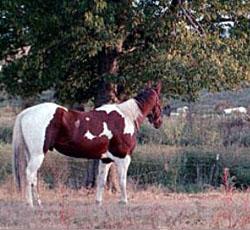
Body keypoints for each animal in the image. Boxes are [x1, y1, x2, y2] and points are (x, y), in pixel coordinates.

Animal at [12, 81, 163, 207]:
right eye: (159, 101)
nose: (159, 122)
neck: (127, 116)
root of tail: (26, 112)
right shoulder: (123, 158)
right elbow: (122, 181)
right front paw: (123, 202)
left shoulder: (106, 159)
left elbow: (101, 181)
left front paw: (98, 202)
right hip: (37, 155)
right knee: (29, 174)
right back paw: (30, 204)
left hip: (32, 154)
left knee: (33, 177)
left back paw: (38, 202)